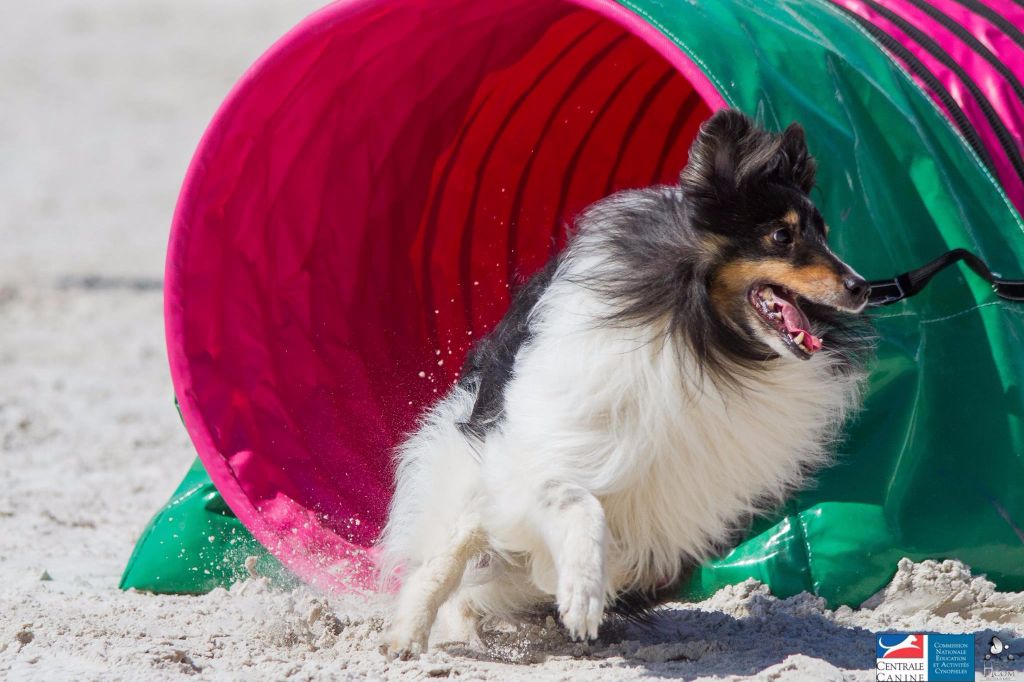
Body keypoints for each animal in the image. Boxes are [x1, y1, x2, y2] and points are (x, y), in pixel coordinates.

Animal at [376, 109, 872, 655]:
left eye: (824, 234)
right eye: (782, 236)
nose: (863, 287)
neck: (703, 339)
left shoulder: (668, 505)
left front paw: (575, 587)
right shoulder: (542, 449)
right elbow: (577, 504)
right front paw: (581, 595)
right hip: (472, 468)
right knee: (448, 555)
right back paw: (412, 634)